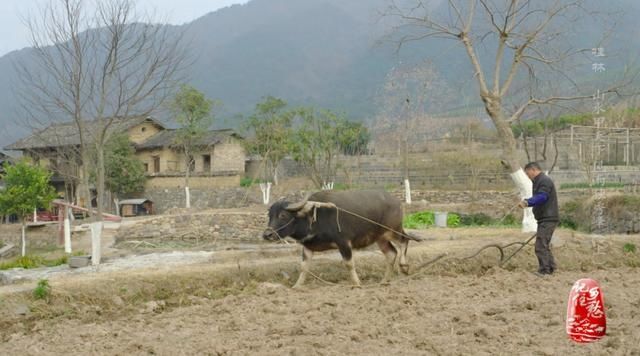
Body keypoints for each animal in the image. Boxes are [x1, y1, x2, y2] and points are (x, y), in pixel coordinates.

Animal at [262, 189, 420, 286]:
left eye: (283, 215)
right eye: (269, 215)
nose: (267, 234)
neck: (314, 216)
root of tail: (397, 202)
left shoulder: (343, 242)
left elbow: (349, 264)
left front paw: (357, 284)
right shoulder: (307, 246)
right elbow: (304, 267)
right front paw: (297, 286)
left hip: (393, 230)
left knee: (404, 241)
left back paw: (404, 265)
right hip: (380, 238)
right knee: (391, 254)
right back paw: (384, 281)